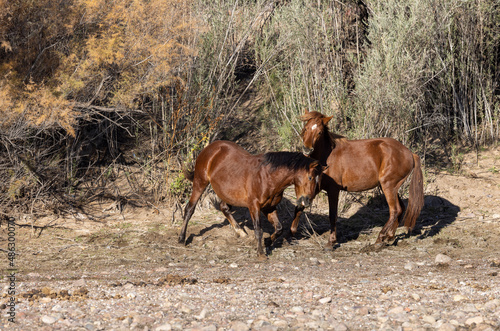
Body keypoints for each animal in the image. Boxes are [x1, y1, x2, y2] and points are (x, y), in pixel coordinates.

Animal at [180, 140, 324, 260]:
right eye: (310, 177)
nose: (307, 202)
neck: (268, 177)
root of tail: (209, 148)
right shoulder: (254, 206)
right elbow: (258, 229)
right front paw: (261, 254)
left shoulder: (269, 207)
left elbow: (279, 228)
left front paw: (267, 242)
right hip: (200, 182)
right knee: (189, 209)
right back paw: (182, 239)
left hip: (228, 194)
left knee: (224, 208)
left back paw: (240, 232)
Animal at [298, 110, 424, 250]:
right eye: (306, 128)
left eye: (319, 132)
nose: (307, 149)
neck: (327, 156)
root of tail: (409, 153)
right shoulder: (315, 187)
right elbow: (300, 205)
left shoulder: (333, 190)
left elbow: (332, 215)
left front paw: (331, 242)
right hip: (391, 187)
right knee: (400, 208)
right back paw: (390, 237)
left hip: (388, 186)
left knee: (394, 211)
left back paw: (379, 239)